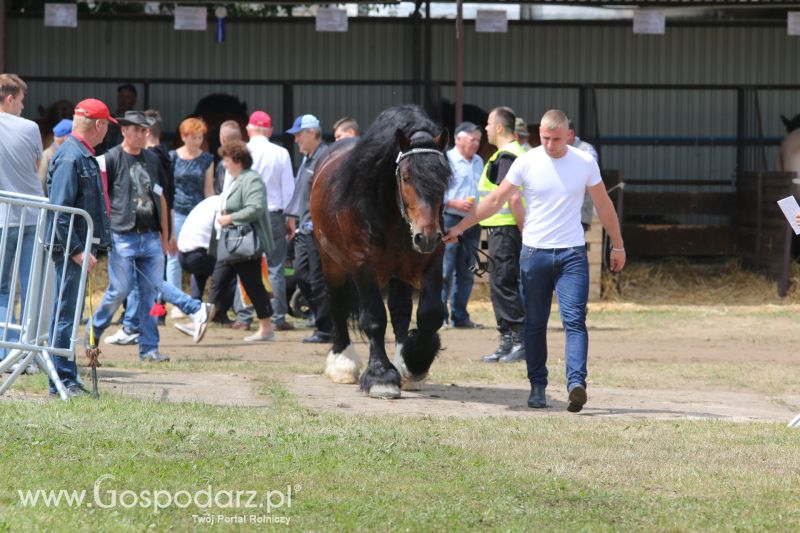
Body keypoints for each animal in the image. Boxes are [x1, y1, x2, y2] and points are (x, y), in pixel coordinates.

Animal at [310, 104, 450, 396]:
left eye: (444, 178)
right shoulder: (363, 266)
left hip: (398, 270)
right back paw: (342, 361)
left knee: (400, 310)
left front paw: (414, 361)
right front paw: (380, 376)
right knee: (337, 302)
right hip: (332, 262)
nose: (427, 237)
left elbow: (430, 313)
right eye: (406, 177)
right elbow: (374, 317)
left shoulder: (432, 260)